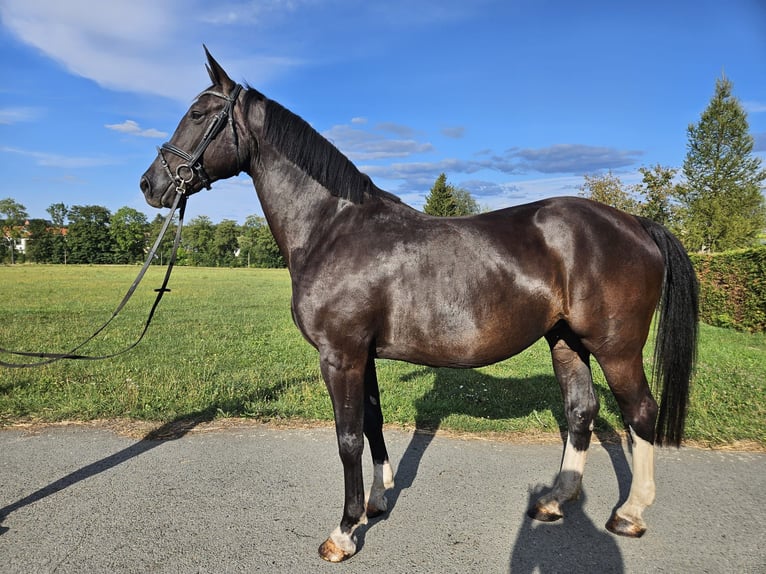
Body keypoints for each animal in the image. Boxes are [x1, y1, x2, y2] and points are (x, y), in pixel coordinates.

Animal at [140, 48, 704, 564]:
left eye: (197, 114)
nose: (151, 184)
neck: (333, 227)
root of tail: (634, 222)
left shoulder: (340, 355)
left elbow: (347, 438)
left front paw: (343, 533)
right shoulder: (361, 356)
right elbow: (372, 422)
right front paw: (377, 501)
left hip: (616, 347)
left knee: (640, 413)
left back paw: (629, 514)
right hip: (566, 340)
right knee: (581, 411)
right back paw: (554, 501)